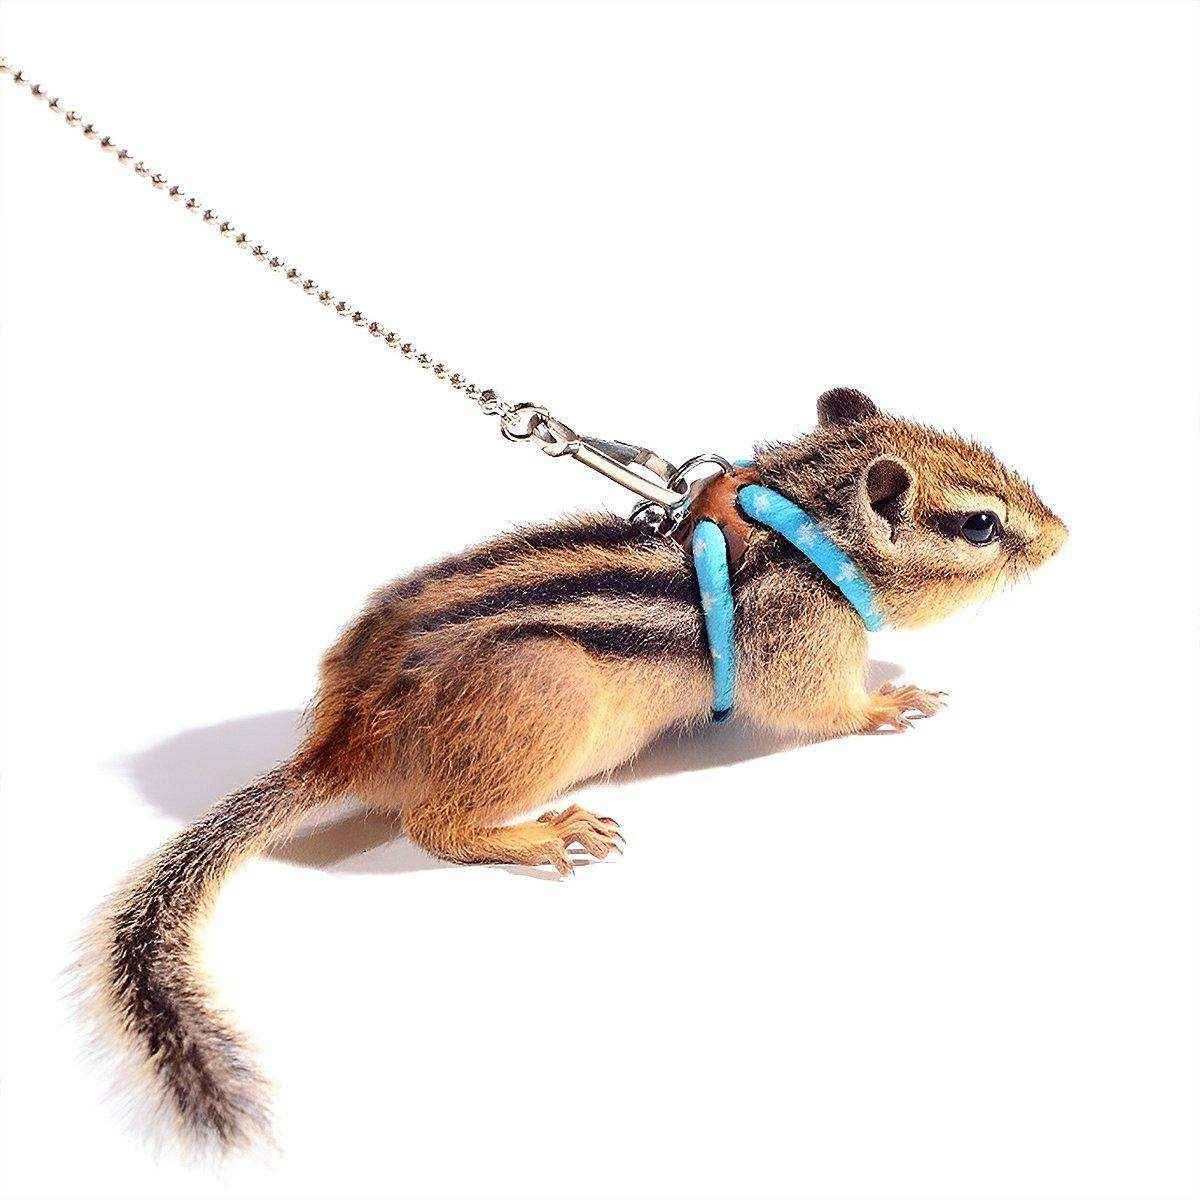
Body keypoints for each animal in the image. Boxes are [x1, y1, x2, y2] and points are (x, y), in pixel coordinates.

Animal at [77, 387, 1067, 1153]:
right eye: (981, 524)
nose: (1063, 535)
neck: (807, 525)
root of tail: (343, 743)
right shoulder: (798, 644)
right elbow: (817, 707)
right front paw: (890, 702)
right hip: (541, 699)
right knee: (433, 825)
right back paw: (547, 832)